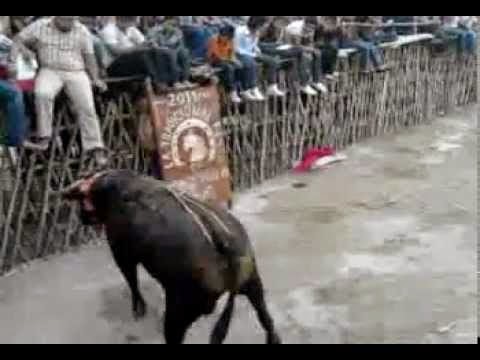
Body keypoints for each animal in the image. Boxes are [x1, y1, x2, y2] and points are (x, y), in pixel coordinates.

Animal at [62, 170, 282, 344]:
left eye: (81, 201)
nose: (81, 218)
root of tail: (226, 243)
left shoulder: (121, 252)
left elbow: (131, 280)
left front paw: (138, 310)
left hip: (179, 311)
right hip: (253, 281)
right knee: (265, 316)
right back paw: (274, 339)